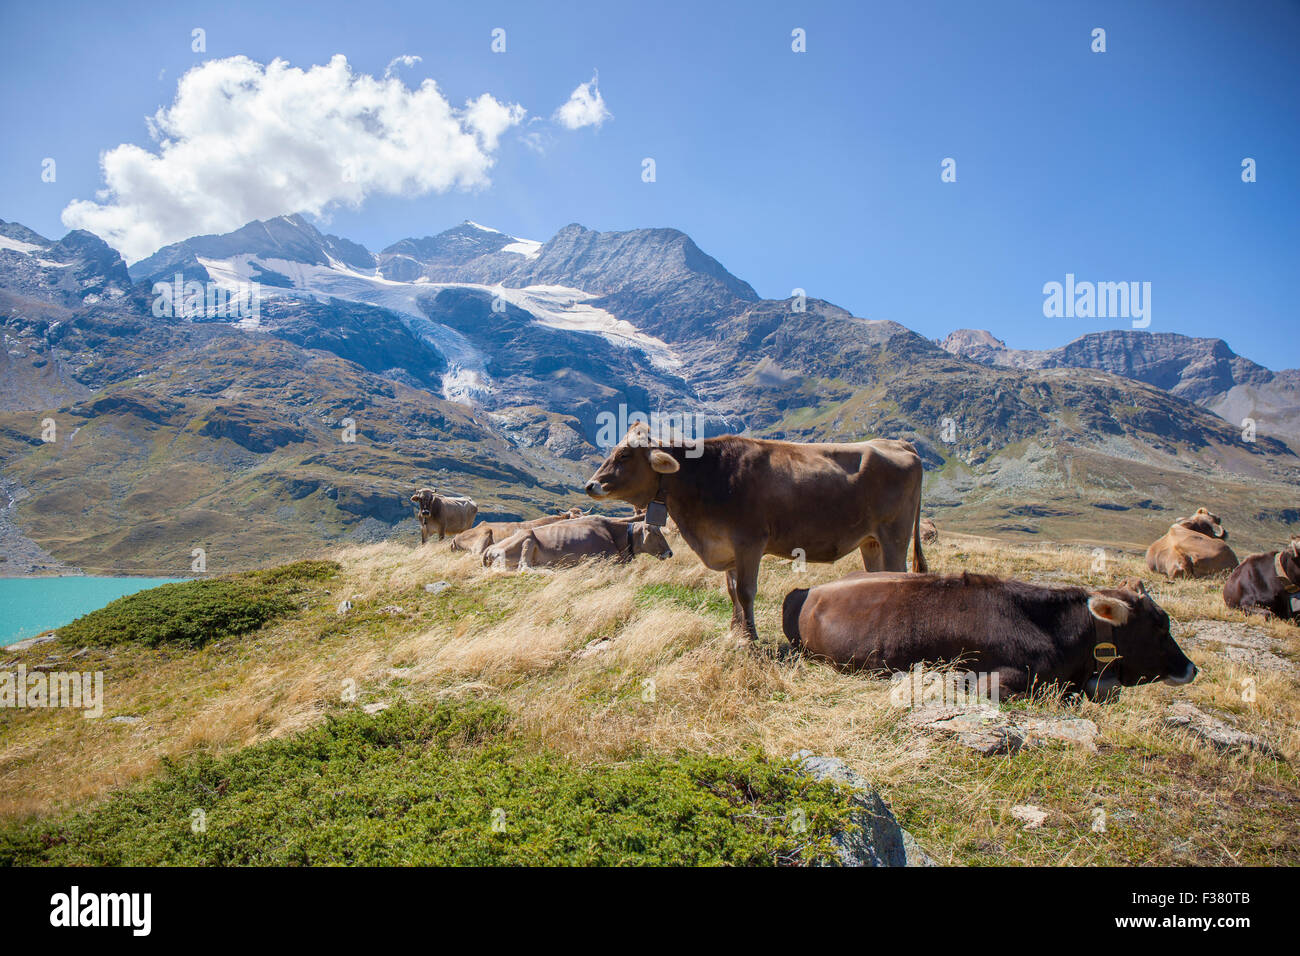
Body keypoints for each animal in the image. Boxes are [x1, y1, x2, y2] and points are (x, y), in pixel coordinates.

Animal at [584, 422, 926, 641]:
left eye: (624, 455)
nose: (590, 485)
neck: (705, 476)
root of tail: (896, 443)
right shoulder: (727, 548)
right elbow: (732, 590)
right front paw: (734, 631)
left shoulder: (749, 543)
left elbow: (746, 592)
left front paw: (749, 637)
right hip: (871, 541)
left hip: (894, 536)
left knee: (899, 572)